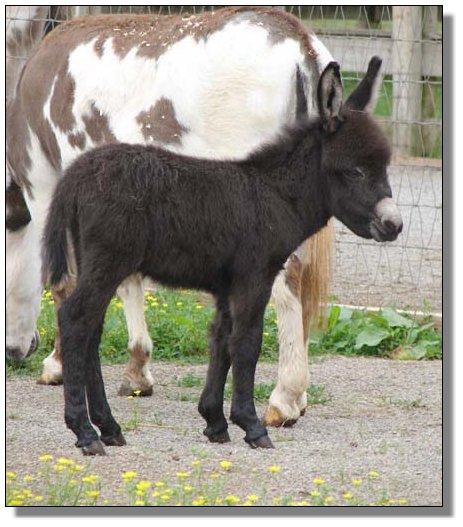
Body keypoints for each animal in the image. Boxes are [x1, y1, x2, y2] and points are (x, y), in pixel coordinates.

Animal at [8, 6, 336, 427]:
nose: (15, 353)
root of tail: (300, 42)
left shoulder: (48, 189)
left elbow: (64, 282)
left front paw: (61, 364)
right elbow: (128, 280)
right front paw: (137, 368)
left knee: (289, 280)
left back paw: (284, 397)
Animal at [42, 56, 402, 454]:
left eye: (384, 167)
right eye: (355, 171)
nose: (394, 225)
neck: (274, 193)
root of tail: (75, 174)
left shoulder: (227, 284)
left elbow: (221, 340)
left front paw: (214, 421)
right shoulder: (255, 276)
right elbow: (247, 342)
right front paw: (252, 426)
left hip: (98, 262)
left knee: (91, 331)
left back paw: (108, 427)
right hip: (109, 260)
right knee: (75, 320)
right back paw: (85, 432)